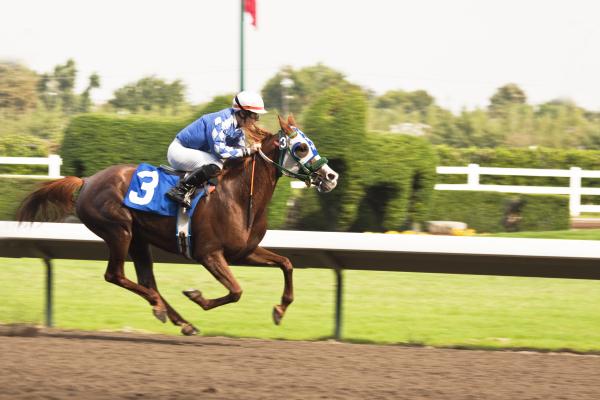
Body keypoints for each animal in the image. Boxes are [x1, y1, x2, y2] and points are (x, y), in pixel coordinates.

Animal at [17, 115, 338, 334]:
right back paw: (160, 306)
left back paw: (180, 320)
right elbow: (236, 291)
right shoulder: (209, 254)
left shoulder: (244, 251)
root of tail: (87, 181)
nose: (331, 177)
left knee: (147, 281)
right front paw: (196, 296)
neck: (237, 196)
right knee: (116, 275)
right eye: (300, 148)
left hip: (139, 240)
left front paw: (280, 309)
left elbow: (286, 264)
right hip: (119, 231)